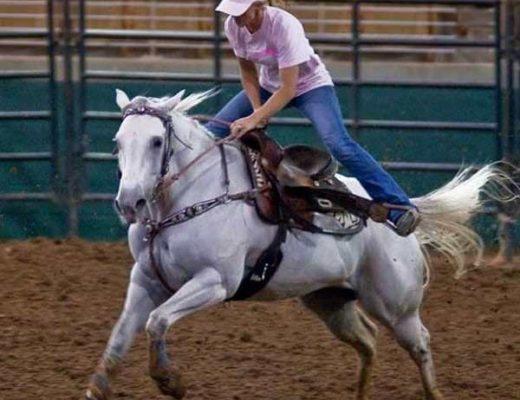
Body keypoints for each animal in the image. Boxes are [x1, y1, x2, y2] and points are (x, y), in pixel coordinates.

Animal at [84, 90, 512, 400]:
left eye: (157, 141)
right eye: (117, 143)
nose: (130, 203)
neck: (188, 198)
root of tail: (395, 210)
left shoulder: (216, 281)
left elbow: (157, 321)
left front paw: (170, 380)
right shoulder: (145, 280)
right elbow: (120, 339)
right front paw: (98, 387)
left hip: (397, 305)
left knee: (419, 344)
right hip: (329, 300)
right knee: (367, 339)